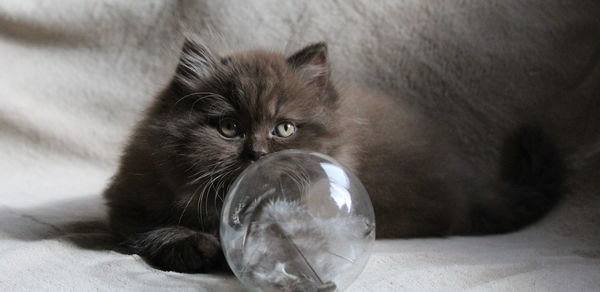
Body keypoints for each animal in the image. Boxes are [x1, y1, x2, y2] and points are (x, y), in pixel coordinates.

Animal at [103, 38, 564, 274]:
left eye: (284, 128)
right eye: (229, 128)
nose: (257, 153)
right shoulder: (130, 201)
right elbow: (157, 230)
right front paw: (197, 248)